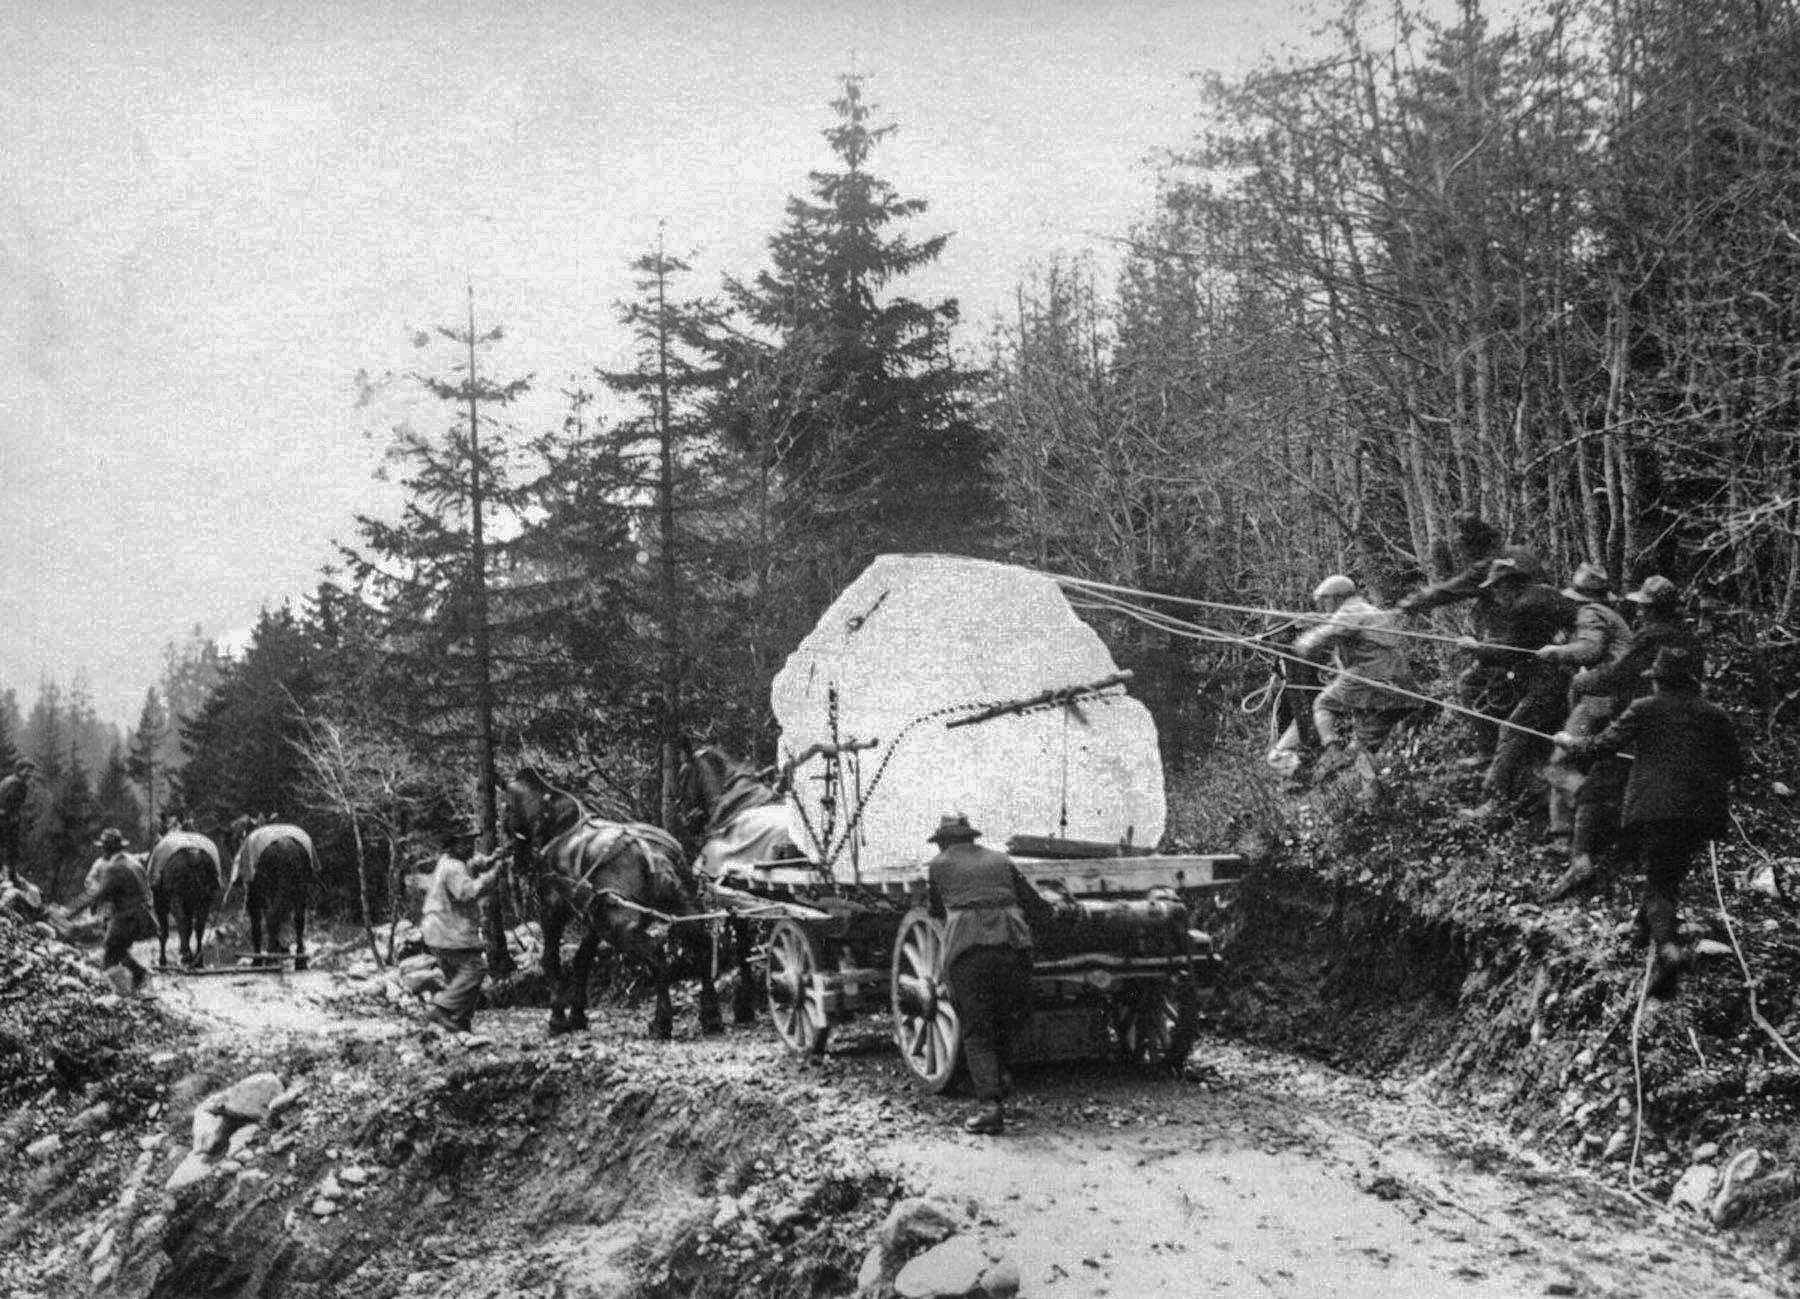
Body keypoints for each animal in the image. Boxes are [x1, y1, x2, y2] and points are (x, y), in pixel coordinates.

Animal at [145, 831, 223, 964]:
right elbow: (189, 926)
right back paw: (198, 959)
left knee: (181, 919)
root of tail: (194, 854)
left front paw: (162, 959)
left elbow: (164, 930)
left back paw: (186, 956)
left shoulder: (159, 902)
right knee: (199, 923)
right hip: (204, 894)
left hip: (176, 893)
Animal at [224, 813, 316, 964]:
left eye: (235, 840)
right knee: (298, 920)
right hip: (300, 889)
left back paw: (271, 958)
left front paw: (257, 961)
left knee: (273, 918)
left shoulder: (254, 897)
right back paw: (299, 961)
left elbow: (256, 928)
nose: (237, 880)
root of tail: (288, 848)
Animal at [500, 762, 723, 1036]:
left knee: (657, 956)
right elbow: (582, 959)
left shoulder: (552, 909)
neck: (557, 824)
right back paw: (711, 1015)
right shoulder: (593, 917)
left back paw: (661, 1022)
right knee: (703, 947)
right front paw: (577, 1015)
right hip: (683, 909)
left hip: (619, 927)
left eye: (505, 808)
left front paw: (558, 1018)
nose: (512, 853)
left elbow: (551, 960)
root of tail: (653, 854)